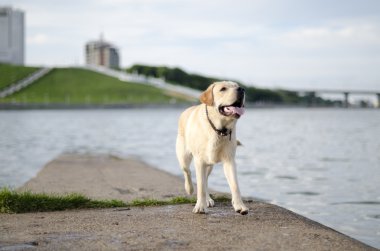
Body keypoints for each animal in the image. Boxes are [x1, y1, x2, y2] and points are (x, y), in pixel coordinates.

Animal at [176, 81, 248, 214]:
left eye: (237, 86)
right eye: (223, 89)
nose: (241, 89)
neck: (219, 129)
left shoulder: (229, 160)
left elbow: (235, 185)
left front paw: (240, 206)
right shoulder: (199, 161)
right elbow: (200, 186)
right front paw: (200, 206)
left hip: (209, 164)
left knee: (205, 180)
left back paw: (208, 199)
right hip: (184, 156)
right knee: (187, 171)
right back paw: (189, 188)